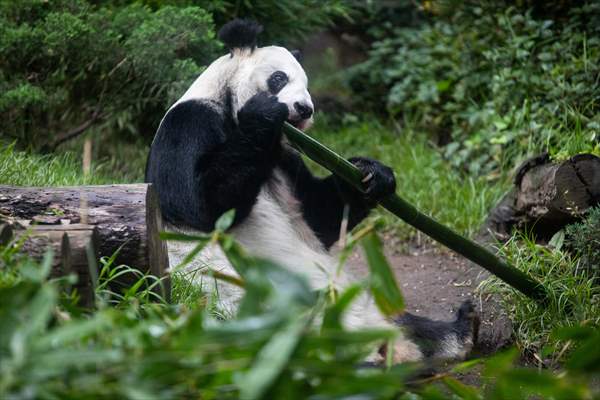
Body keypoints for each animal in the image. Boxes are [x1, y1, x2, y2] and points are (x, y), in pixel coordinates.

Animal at [145, 19, 478, 366]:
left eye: (307, 84)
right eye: (279, 78)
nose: (304, 109)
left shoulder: (286, 156)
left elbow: (320, 216)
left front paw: (373, 174)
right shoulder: (192, 122)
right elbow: (199, 205)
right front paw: (263, 112)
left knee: (401, 319)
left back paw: (459, 331)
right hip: (251, 306)